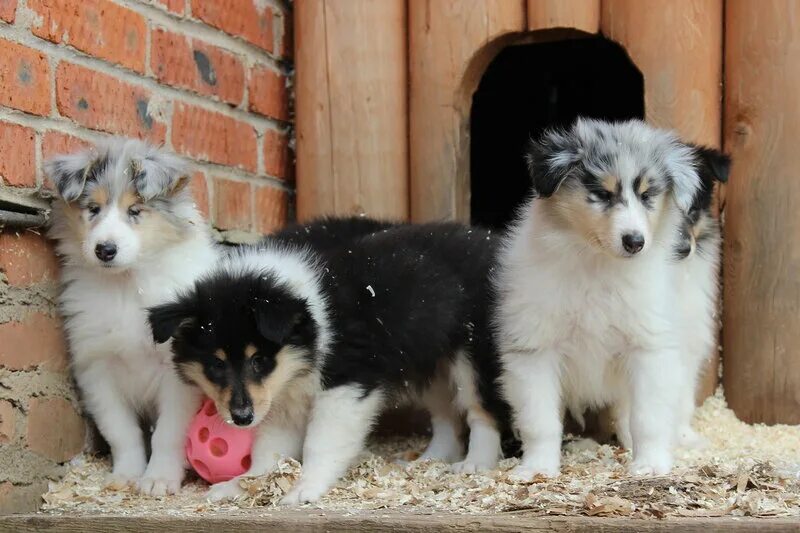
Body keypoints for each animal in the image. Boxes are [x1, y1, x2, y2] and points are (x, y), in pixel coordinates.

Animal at [46, 138, 219, 494]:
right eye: (93, 209)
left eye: (135, 211)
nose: (105, 250)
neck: (126, 284)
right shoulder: (96, 368)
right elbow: (121, 431)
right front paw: (126, 475)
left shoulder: (178, 373)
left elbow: (169, 432)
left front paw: (159, 480)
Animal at [150, 221, 506, 502]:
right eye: (216, 364)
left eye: (260, 359)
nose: (241, 418)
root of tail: (491, 239)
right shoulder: (284, 399)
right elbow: (269, 452)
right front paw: (244, 484)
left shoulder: (345, 384)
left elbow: (320, 443)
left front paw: (305, 488)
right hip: (431, 359)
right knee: (447, 416)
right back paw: (430, 460)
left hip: (474, 355)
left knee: (481, 412)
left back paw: (477, 463)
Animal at [494, 117, 712, 478]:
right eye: (601, 194)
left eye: (647, 195)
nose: (634, 241)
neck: (598, 265)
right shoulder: (534, 350)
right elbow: (540, 422)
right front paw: (538, 468)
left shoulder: (648, 347)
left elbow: (647, 418)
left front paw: (650, 465)